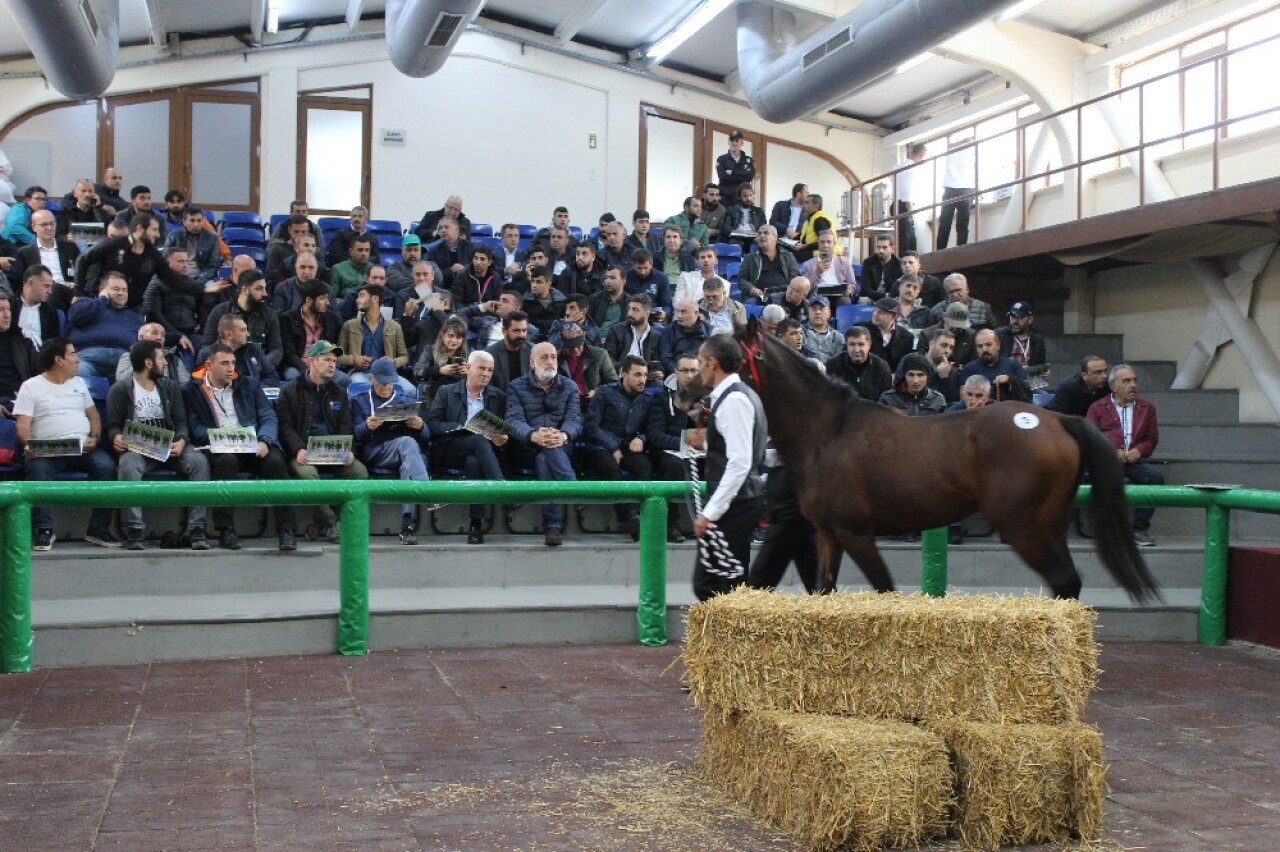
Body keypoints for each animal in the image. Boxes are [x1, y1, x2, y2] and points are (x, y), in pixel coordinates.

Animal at [686, 319, 1167, 603]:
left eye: (720, 359)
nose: (684, 393)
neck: (828, 433)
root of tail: (1059, 419)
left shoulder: (857, 534)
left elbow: (885, 590)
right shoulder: (828, 536)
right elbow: (824, 588)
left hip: (1024, 527)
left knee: (1065, 581)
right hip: (1047, 526)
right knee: (1066, 583)